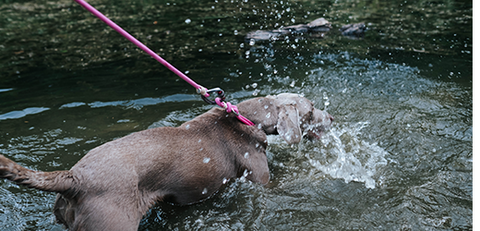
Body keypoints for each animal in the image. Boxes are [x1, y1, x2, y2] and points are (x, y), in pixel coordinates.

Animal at [0, 93, 334, 230]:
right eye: (311, 109)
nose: (331, 117)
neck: (245, 118)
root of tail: (74, 178)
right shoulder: (260, 180)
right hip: (113, 224)